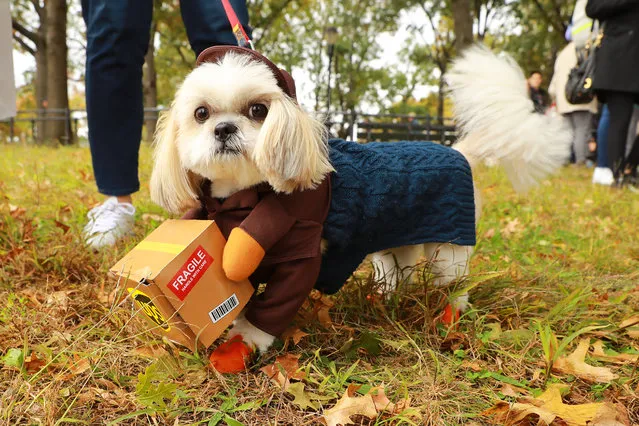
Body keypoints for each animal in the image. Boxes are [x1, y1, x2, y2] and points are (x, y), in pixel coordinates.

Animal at [152, 45, 572, 372]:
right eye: (201, 113)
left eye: (258, 110)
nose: (224, 129)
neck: (248, 196)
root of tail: (458, 152)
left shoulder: (299, 262)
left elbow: (269, 309)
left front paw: (242, 344)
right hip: (394, 241)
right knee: (400, 271)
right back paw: (385, 300)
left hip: (447, 247)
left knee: (455, 286)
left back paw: (448, 318)